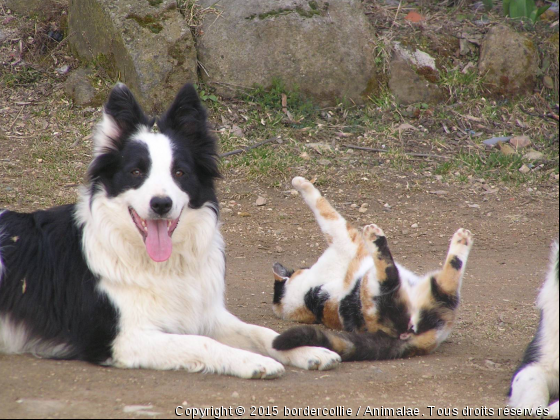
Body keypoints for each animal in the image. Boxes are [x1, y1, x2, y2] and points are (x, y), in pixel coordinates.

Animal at [0, 82, 342, 378]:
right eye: (136, 172)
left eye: (180, 172)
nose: (161, 204)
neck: (161, 266)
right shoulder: (123, 338)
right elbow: (202, 342)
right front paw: (251, 361)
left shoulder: (205, 314)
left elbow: (262, 332)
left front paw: (308, 349)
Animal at [272, 176, 472, 360]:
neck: (308, 299)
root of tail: (420, 340)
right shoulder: (346, 239)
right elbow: (324, 209)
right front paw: (299, 182)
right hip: (371, 283)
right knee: (390, 276)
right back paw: (375, 236)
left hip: (436, 293)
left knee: (448, 281)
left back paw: (462, 239)